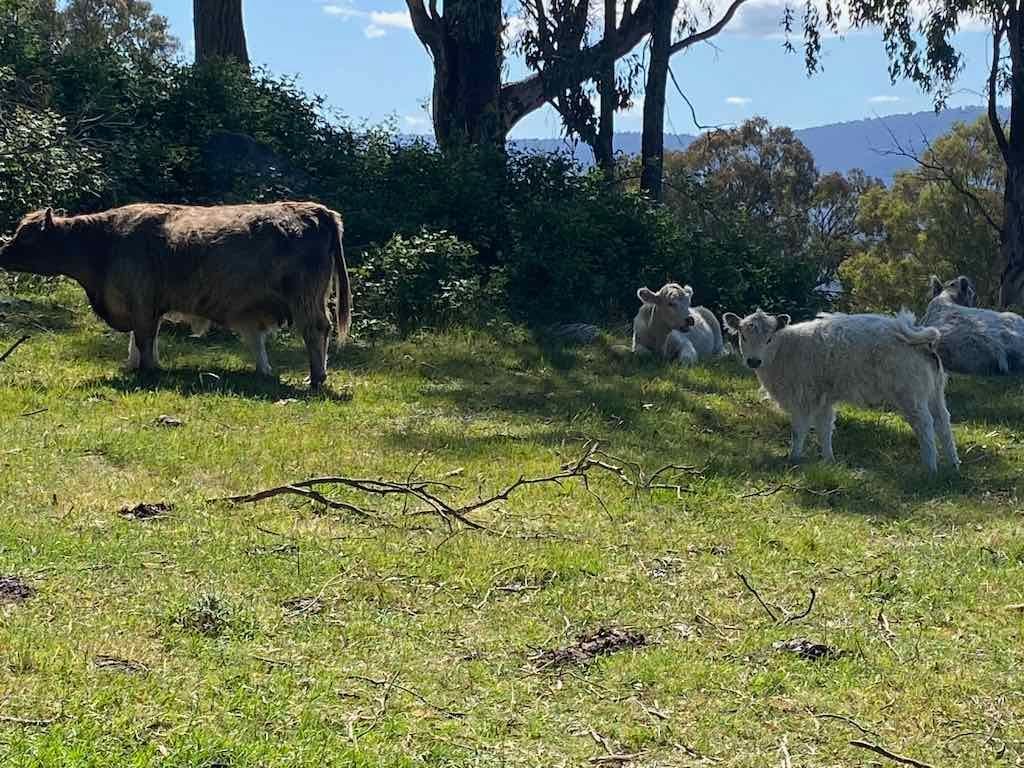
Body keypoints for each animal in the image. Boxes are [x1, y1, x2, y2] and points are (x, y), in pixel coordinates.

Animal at [0, 201, 352, 387]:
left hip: (306, 298)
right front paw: (139, 365)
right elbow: (144, 338)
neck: (105, 243)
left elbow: (143, 337)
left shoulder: (141, 299)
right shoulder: (147, 303)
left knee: (317, 331)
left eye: (26, 236)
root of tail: (319, 211)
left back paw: (316, 378)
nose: (2, 253)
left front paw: (146, 371)